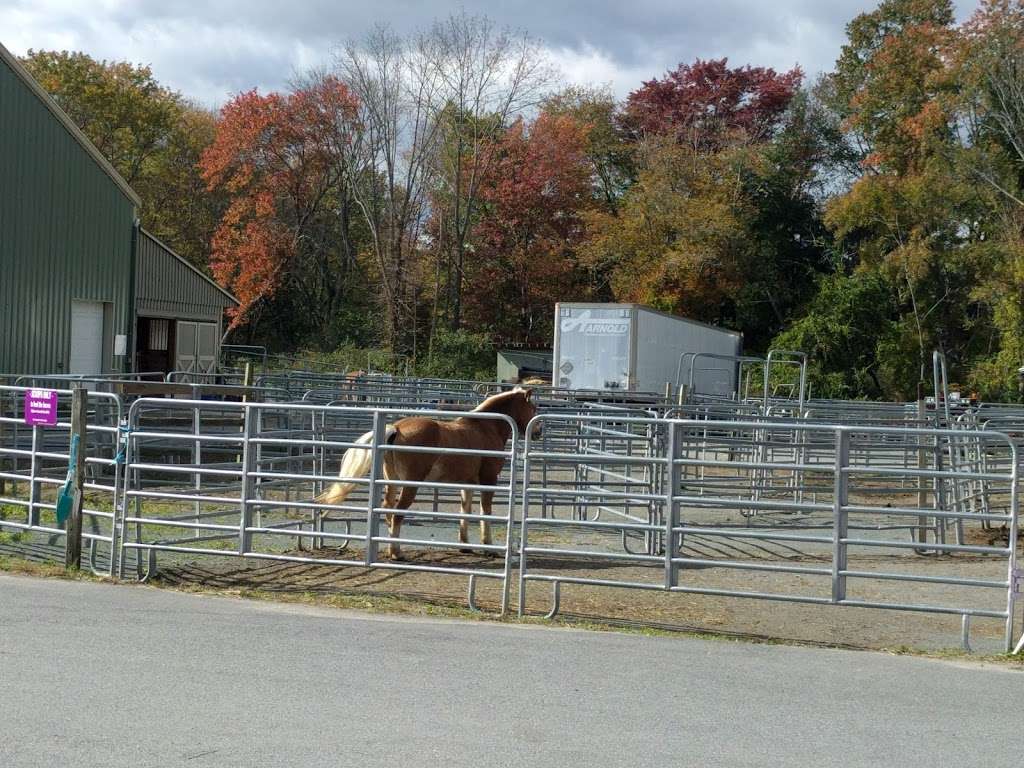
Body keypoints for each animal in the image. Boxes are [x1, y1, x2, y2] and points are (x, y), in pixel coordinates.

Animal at [315, 391, 540, 561]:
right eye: (534, 408)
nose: (538, 432)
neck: (485, 427)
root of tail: (396, 429)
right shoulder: (488, 481)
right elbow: (486, 512)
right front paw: (488, 547)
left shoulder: (467, 484)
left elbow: (465, 511)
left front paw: (465, 545)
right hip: (410, 486)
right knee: (397, 513)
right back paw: (396, 553)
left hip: (391, 483)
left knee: (388, 510)